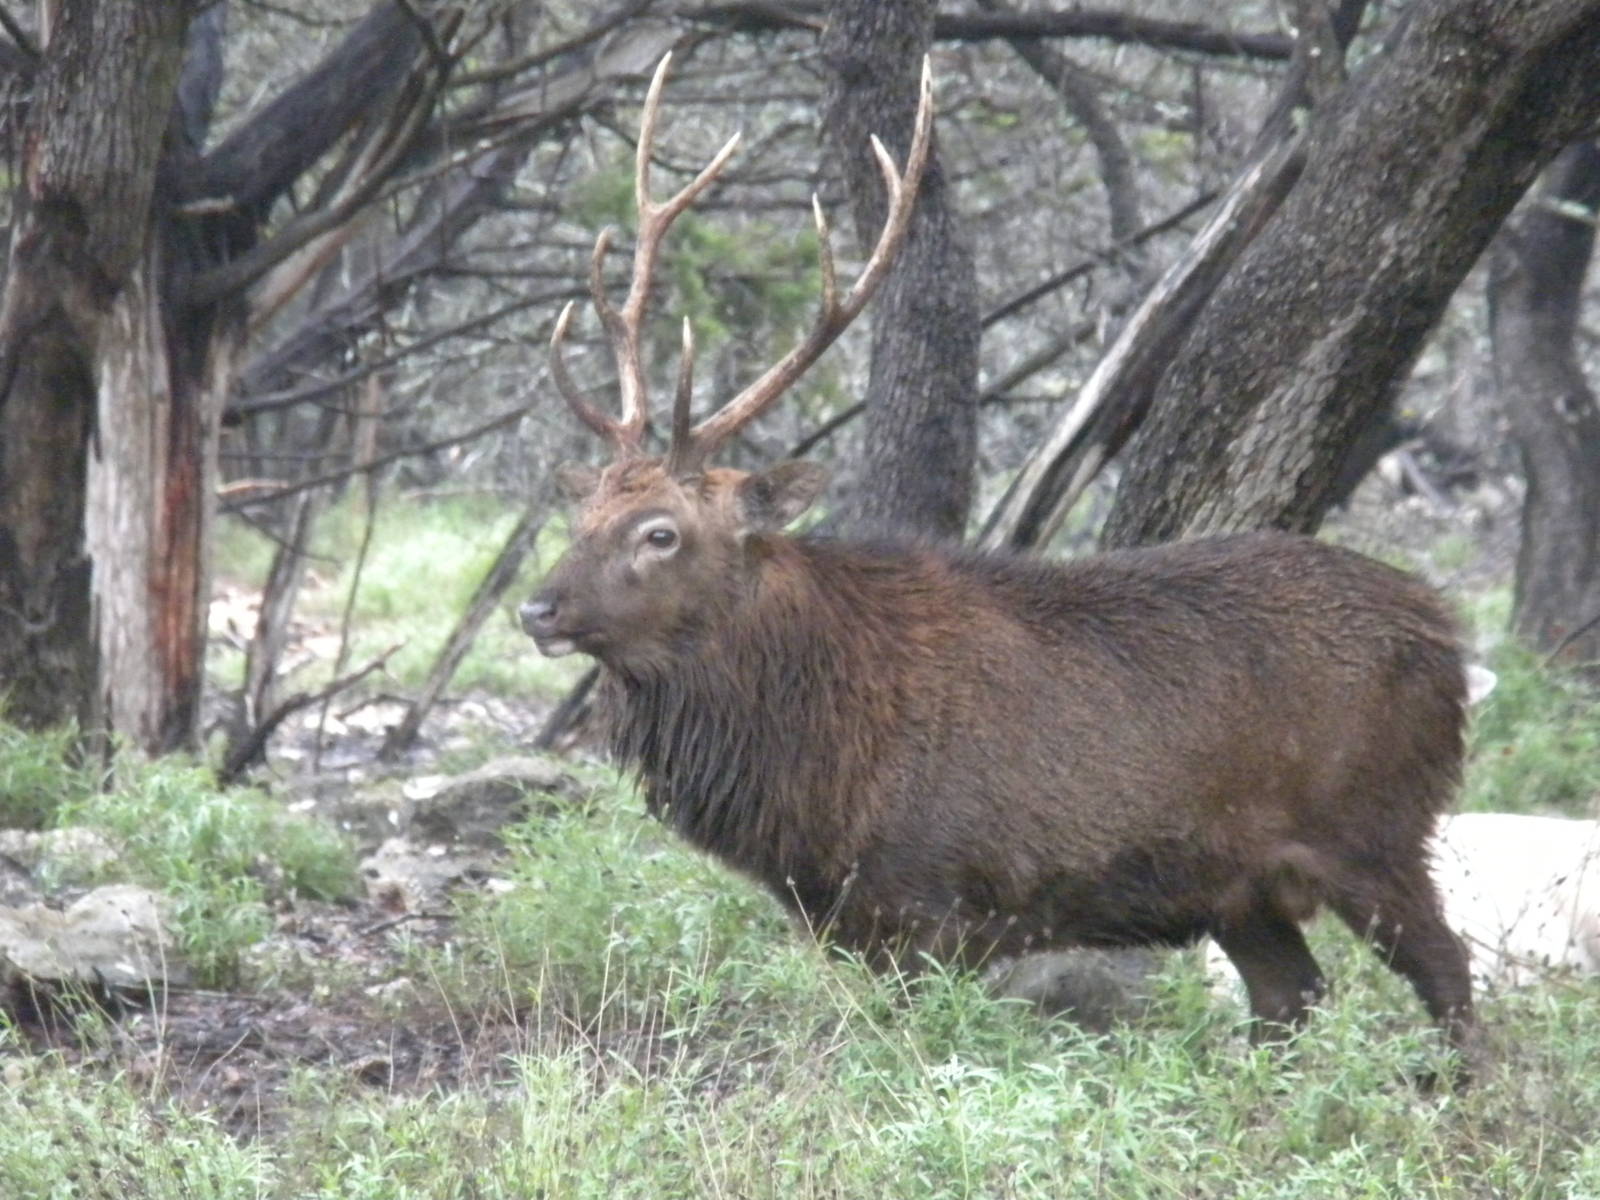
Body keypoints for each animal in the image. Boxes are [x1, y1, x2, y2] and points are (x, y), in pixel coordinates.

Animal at [520, 55, 1479, 1071]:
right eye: (583, 512)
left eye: (660, 532)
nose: (537, 609)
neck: (810, 762)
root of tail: (1447, 633)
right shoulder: (850, 917)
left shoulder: (935, 899)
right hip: (1240, 885)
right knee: (1291, 997)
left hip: (1376, 825)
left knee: (1450, 973)